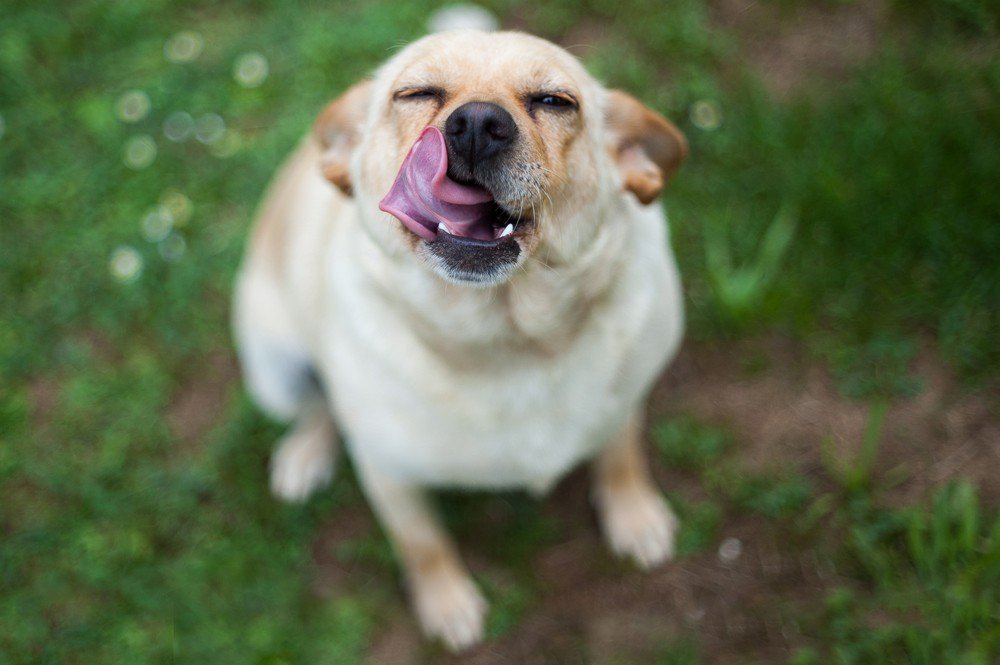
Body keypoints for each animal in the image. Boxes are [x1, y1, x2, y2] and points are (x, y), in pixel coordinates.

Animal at [234, 28, 688, 652]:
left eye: (555, 102)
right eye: (416, 93)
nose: (476, 123)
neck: (507, 342)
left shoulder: (625, 401)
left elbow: (622, 458)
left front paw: (633, 515)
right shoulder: (388, 473)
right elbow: (423, 546)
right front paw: (445, 604)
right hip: (275, 368)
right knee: (316, 406)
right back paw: (305, 453)